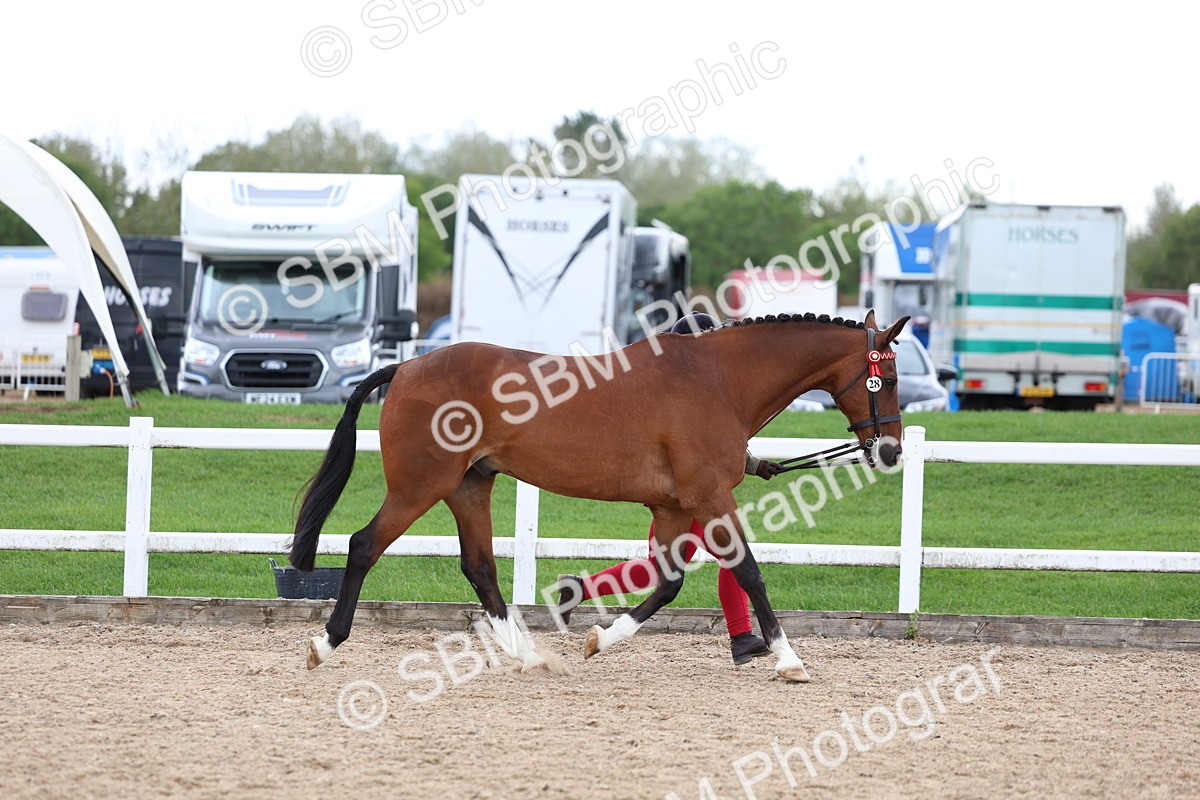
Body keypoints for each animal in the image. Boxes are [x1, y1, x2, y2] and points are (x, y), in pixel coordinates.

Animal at [289, 310, 909, 683]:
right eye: (887, 379)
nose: (891, 451)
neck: (719, 380)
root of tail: (406, 365)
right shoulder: (710, 498)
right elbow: (750, 573)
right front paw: (789, 659)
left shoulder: (673, 507)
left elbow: (669, 582)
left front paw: (599, 638)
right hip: (421, 485)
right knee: (364, 545)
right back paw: (326, 643)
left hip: (470, 485)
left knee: (480, 567)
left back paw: (528, 655)